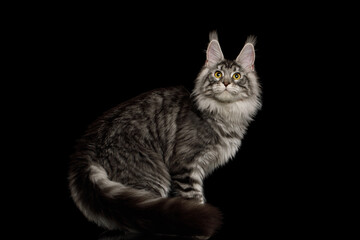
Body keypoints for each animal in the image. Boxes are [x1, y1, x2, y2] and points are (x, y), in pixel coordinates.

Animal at [69, 30, 262, 238]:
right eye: (218, 74)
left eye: (236, 76)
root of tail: (88, 143)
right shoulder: (185, 165)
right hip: (150, 177)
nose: (226, 83)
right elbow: (194, 198)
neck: (224, 113)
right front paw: (199, 228)